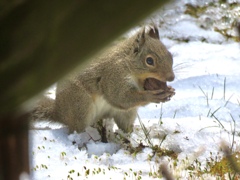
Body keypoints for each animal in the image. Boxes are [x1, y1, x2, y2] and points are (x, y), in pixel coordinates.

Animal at [31, 24, 174, 134]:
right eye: (149, 61)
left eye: (170, 55)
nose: (171, 77)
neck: (127, 64)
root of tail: (59, 112)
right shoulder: (113, 76)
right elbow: (120, 98)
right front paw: (152, 96)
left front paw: (170, 91)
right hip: (80, 105)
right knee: (76, 128)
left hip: (127, 114)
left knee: (125, 124)